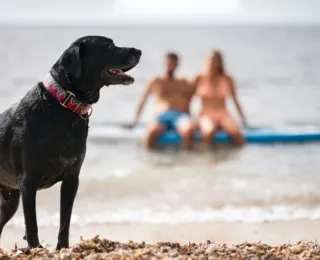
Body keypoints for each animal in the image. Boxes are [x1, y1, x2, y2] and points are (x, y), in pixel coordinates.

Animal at [0, 36, 141, 250]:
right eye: (109, 46)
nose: (139, 51)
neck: (65, 106)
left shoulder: (71, 179)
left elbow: (65, 220)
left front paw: (62, 248)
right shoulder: (28, 182)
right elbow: (32, 223)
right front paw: (36, 248)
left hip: (9, 200)